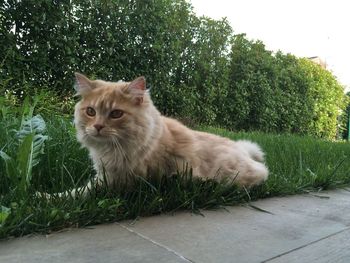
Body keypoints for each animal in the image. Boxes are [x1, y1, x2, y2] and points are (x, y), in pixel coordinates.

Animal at [71, 73, 268, 195]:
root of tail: (242, 149)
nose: (97, 126)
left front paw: (62, 198)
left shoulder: (114, 180)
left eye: (116, 114)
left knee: (263, 173)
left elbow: (80, 192)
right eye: (90, 111)